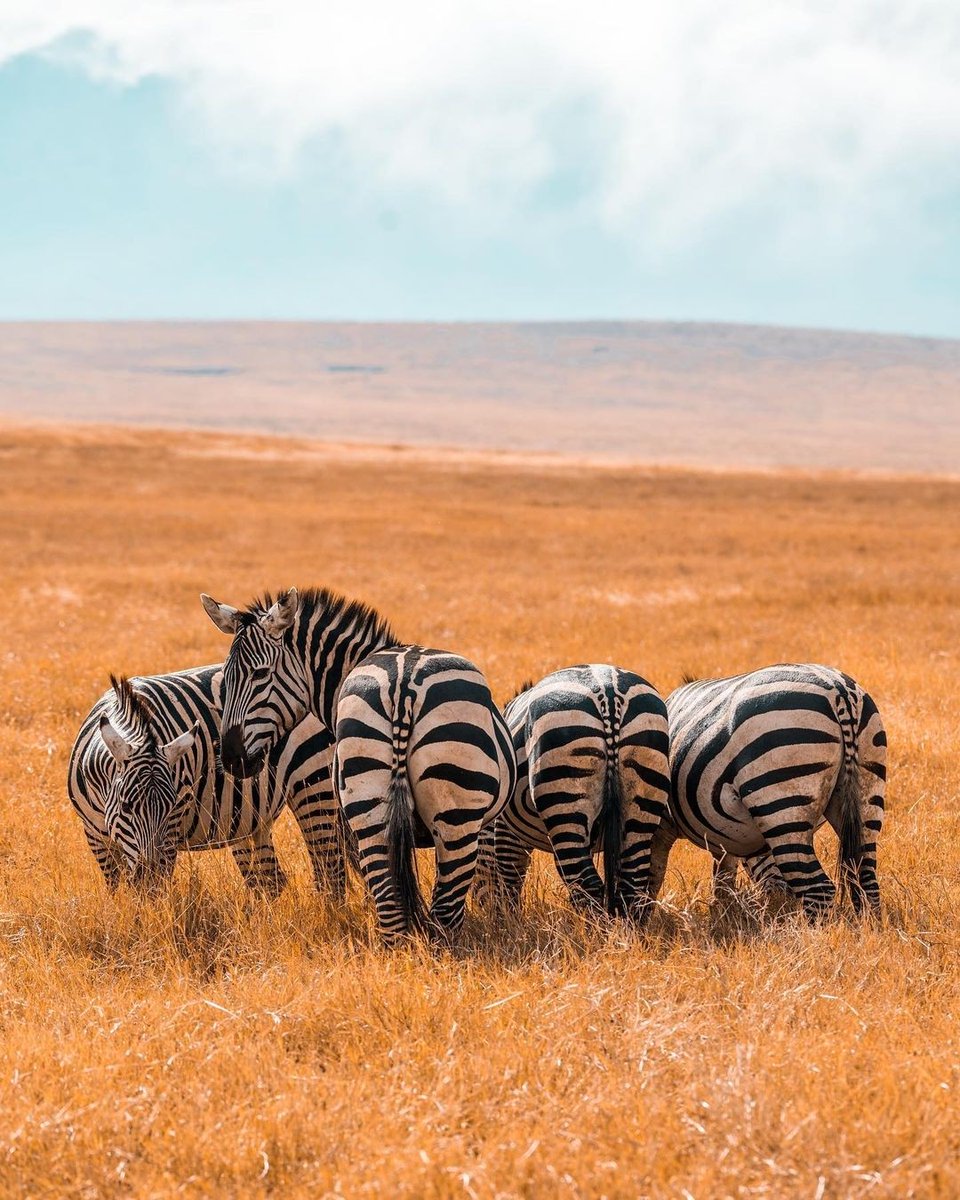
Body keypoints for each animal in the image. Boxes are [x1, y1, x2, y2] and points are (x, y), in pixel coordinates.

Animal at [69, 667, 343, 896]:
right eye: (126, 806)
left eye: (172, 807)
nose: (148, 877)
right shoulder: (94, 835)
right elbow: (117, 891)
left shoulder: (171, 829)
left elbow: (156, 888)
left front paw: (154, 920)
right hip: (249, 817)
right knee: (270, 882)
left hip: (313, 781)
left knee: (329, 871)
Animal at [201, 587, 517, 945]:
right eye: (227, 680)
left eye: (260, 674)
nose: (231, 759)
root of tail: (403, 684)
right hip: (454, 812)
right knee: (443, 911)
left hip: (368, 803)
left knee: (393, 905)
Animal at [478, 665, 670, 922]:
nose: (482, 908)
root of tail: (609, 694)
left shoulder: (506, 831)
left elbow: (510, 877)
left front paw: (509, 921)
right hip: (644, 786)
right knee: (631, 883)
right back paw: (627, 932)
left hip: (564, 795)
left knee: (588, 883)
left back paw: (592, 932)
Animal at [649, 663, 886, 918]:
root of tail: (837, 688)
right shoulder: (726, 836)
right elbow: (724, 877)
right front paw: (725, 914)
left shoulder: (661, 823)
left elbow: (653, 872)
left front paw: (641, 916)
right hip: (865, 792)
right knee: (866, 879)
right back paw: (867, 926)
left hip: (780, 799)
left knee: (817, 888)